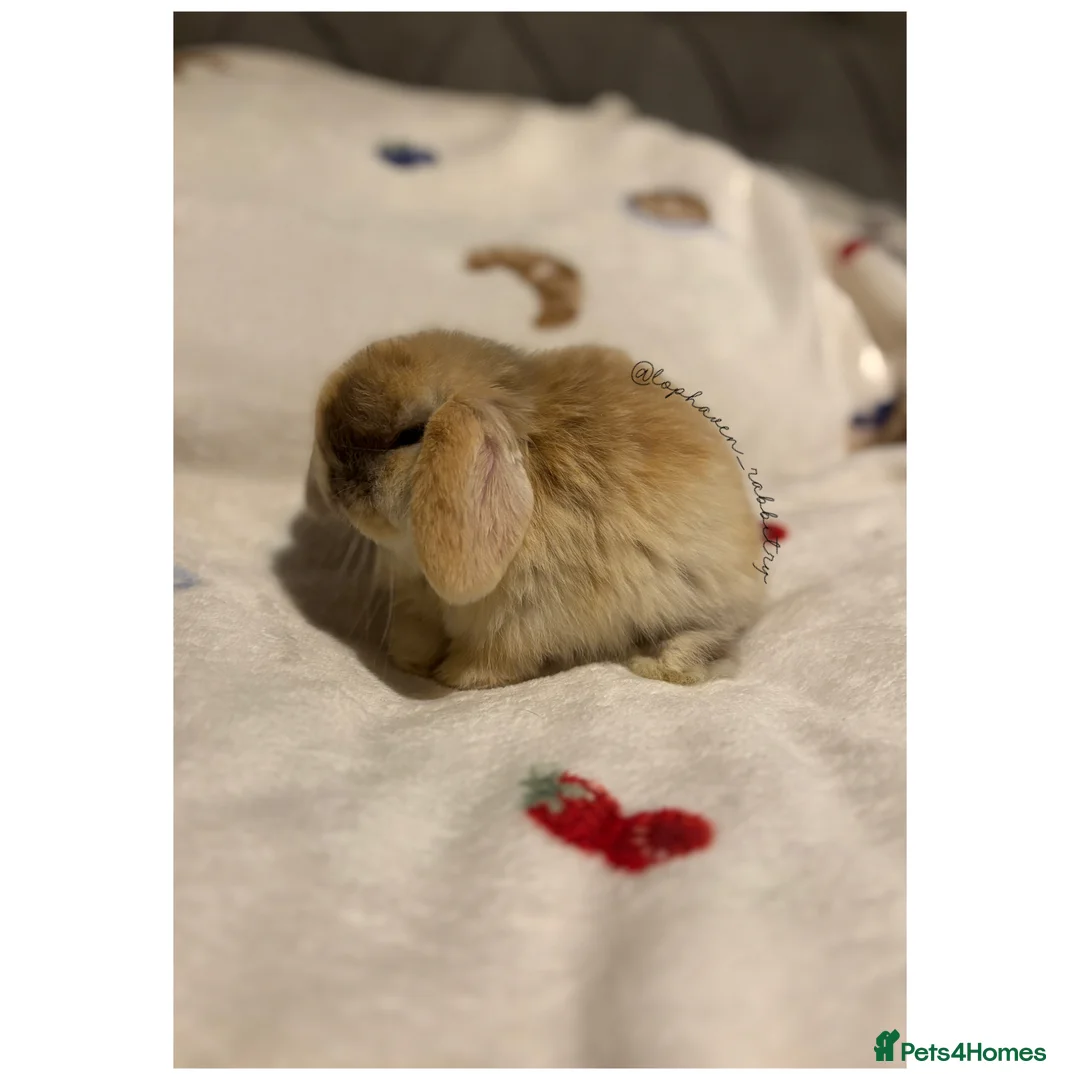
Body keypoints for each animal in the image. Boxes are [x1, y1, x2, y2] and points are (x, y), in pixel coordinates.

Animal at [306, 329, 765, 690]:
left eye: (409, 434)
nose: (331, 486)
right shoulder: (418, 605)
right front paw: (410, 662)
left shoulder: (516, 625)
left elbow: (493, 660)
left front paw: (455, 678)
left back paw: (659, 665)